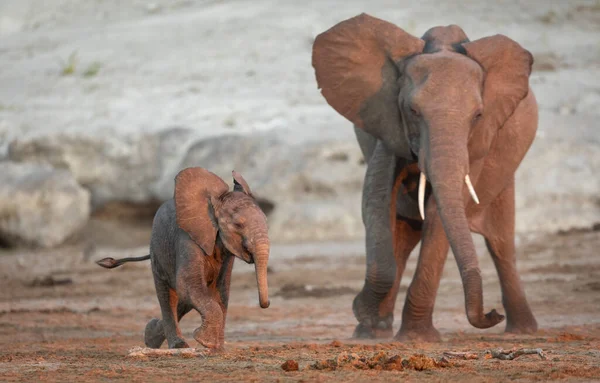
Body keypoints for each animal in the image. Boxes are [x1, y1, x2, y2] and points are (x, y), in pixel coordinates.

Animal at [97, 166, 270, 352]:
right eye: (238, 225)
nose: (265, 304)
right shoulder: (186, 238)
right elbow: (188, 282)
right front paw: (206, 342)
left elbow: (221, 290)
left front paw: (217, 349)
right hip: (157, 251)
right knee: (168, 295)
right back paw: (176, 344)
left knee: (188, 298)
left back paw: (151, 337)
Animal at [312, 13, 536, 340]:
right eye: (412, 110)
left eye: (478, 116)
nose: (492, 313)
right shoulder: (388, 123)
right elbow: (376, 198)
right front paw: (366, 315)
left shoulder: (477, 145)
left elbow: (437, 214)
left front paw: (417, 338)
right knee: (403, 236)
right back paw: (373, 331)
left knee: (501, 243)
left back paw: (522, 330)